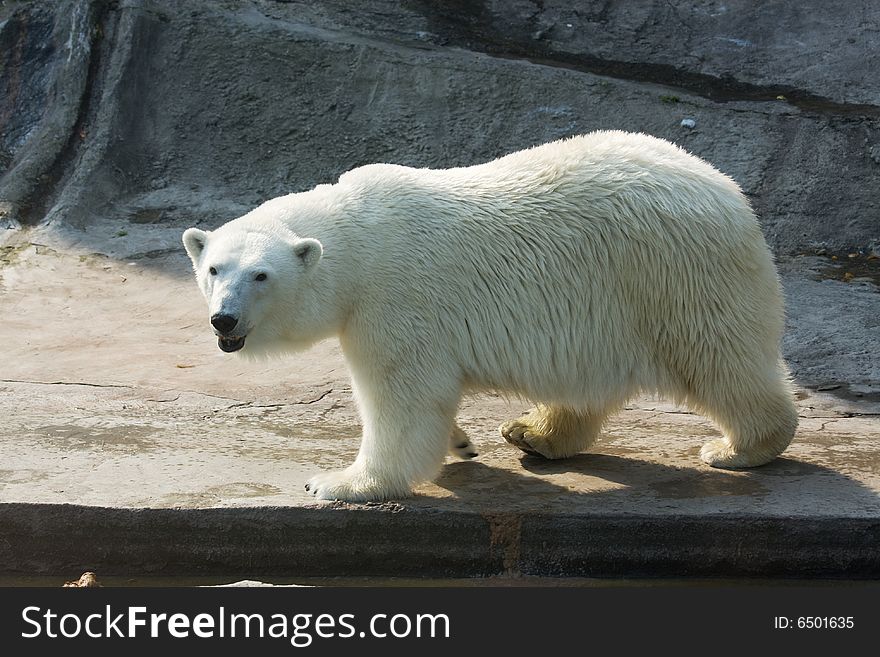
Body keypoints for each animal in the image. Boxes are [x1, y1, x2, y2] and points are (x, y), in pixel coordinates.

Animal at [182, 132, 800, 502]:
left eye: (261, 276)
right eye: (213, 268)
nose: (224, 321)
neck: (359, 238)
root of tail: (729, 193)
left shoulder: (397, 300)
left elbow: (402, 398)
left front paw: (340, 482)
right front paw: (460, 442)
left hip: (672, 275)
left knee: (718, 356)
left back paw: (739, 448)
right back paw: (534, 433)